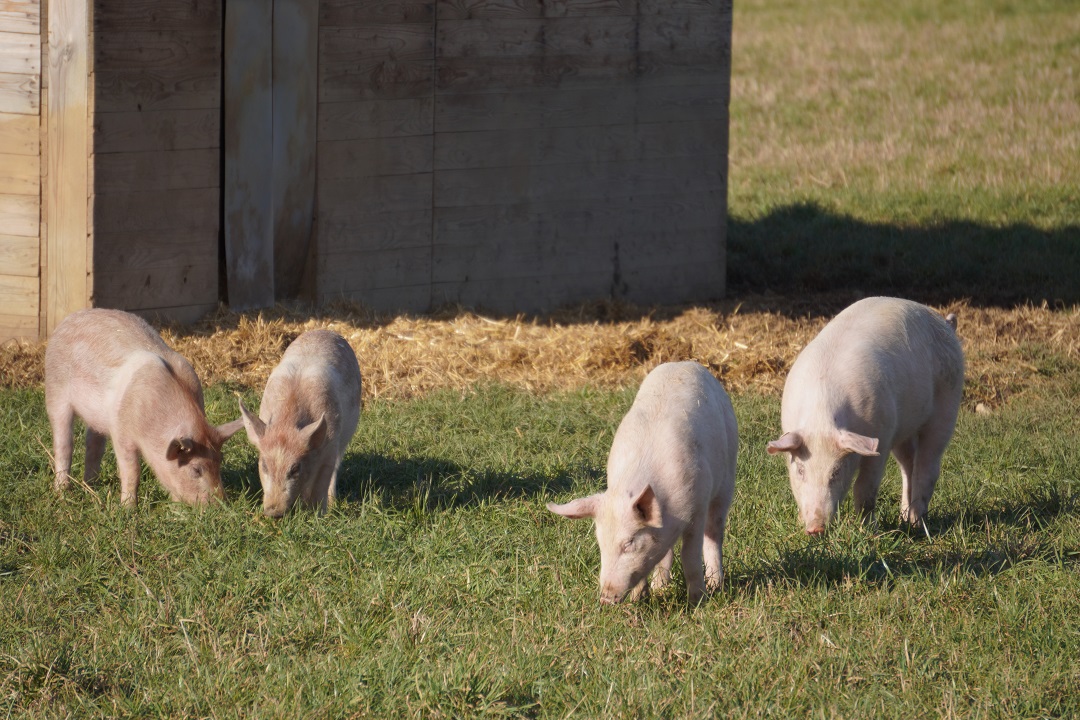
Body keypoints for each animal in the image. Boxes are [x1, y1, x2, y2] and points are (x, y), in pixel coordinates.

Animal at [45, 308, 244, 507]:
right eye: (196, 469)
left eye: (220, 461)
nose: (222, 505)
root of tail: (69, 318)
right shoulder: (121, 431)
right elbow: (132, 471)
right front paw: (128, 508)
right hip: (55, 391)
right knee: (63, 444)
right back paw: (62, 492)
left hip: (96, 418)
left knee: (94, 445)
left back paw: (91, 487)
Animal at [238, 330, 360, 515]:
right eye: (264, 466)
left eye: (295, 469)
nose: (274, 512)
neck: (286, 423)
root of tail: (326, 331)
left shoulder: (330, 444)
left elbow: (322, 482)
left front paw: (319, 514)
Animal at [544, 362, 738, 604]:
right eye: (600, 543)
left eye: (629, 543)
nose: (605, 599)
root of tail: (686, 363)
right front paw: (639, 599)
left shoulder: (698, 505)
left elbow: (690, 557)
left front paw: (697, 601)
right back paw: (660, 588)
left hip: (727, 479)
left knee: (714, 533)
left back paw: (715, 586)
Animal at [764, 293, 967, 535]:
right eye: (801, 470)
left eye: (836, 472)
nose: (816, 529)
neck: (821, 418)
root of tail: (946, 323)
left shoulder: (882, 436)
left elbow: (865, 489)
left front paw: (869, 532)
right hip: (904, 427)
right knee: (908, 465)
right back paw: (904, 518)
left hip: (947, 405)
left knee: (929, 467)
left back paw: (918, 525)